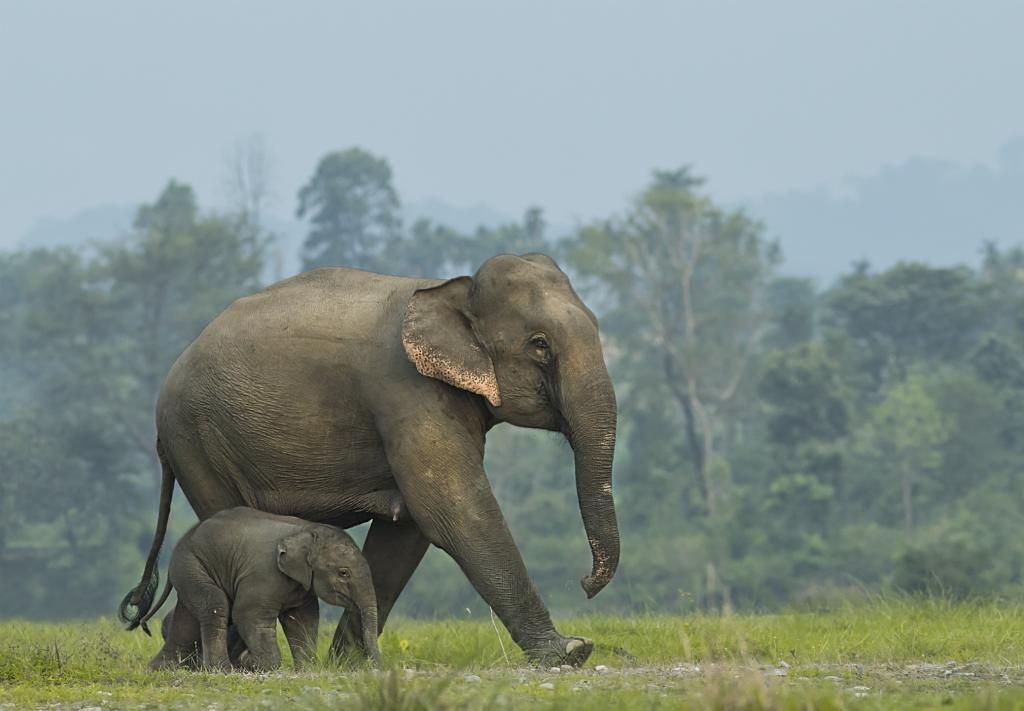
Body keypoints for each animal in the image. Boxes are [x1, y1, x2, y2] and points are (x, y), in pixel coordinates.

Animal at [142, 507, 380, 671]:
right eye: (343, 573)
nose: (376, 666)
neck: (306, 530)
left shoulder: (302, 587)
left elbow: (303, 620)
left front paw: (306, 669)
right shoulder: (263, 575)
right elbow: (247, 614)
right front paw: (258, 665)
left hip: (191, 571)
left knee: (187, 620)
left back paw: (159, 669)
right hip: (193, 565)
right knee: (215, 605)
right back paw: (223, 670)